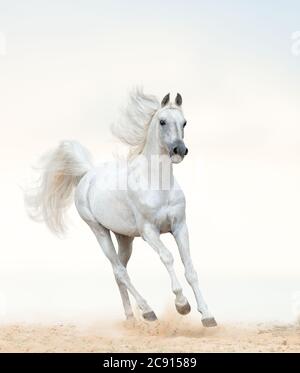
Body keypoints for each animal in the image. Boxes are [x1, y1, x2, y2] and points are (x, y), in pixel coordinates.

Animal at [24, 89, 214, 326]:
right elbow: (168, 257)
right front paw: (182, 305)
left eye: (184, 122)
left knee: (119, 272)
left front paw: (208, 316)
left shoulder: (180, 227)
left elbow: (190, 268)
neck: (158, 185)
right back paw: (148, 312)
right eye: (162, 121)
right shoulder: (149, 231)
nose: (179, 149)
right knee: (120, 271)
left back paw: (132, 317)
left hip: (124, 238)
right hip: (99, 231)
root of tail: (87, 174)